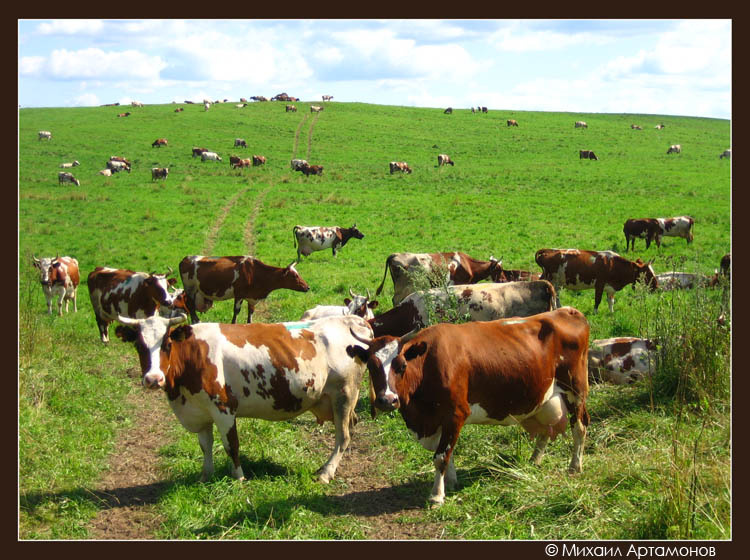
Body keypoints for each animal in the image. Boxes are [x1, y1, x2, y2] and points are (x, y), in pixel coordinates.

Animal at [115, 313, 372, 483]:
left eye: (167, 344)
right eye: (139, 345)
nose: (153, 378)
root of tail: (355, 320)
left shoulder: (223, 408)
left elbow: (232, 445)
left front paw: (238, 478)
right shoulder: (200, 412)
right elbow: (205, 446)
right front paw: (205, 476)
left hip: (345, 394)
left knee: (343, 436)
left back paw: (326, 472)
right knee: (351, 426)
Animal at [179, 255, 310, 324]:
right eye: (294, 276)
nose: (307, 287)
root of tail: (187, 258)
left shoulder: (252, 298)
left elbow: (250, 313)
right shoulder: (239, 294)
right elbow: (236, 312)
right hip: (190, 289)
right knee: (191, 307)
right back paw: (197, 322)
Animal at [346, 306, 590, 507]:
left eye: (401, 365)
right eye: (371, 366)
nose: (387, 400)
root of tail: (568, 311)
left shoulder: (456, 413)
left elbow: (441, 457)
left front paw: (436, 496)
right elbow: (448, 453)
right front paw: (451, 483)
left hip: (576, 390)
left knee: (579, 427)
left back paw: (574, 467)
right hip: (544, 396)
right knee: (546, 430)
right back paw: (534, 460)